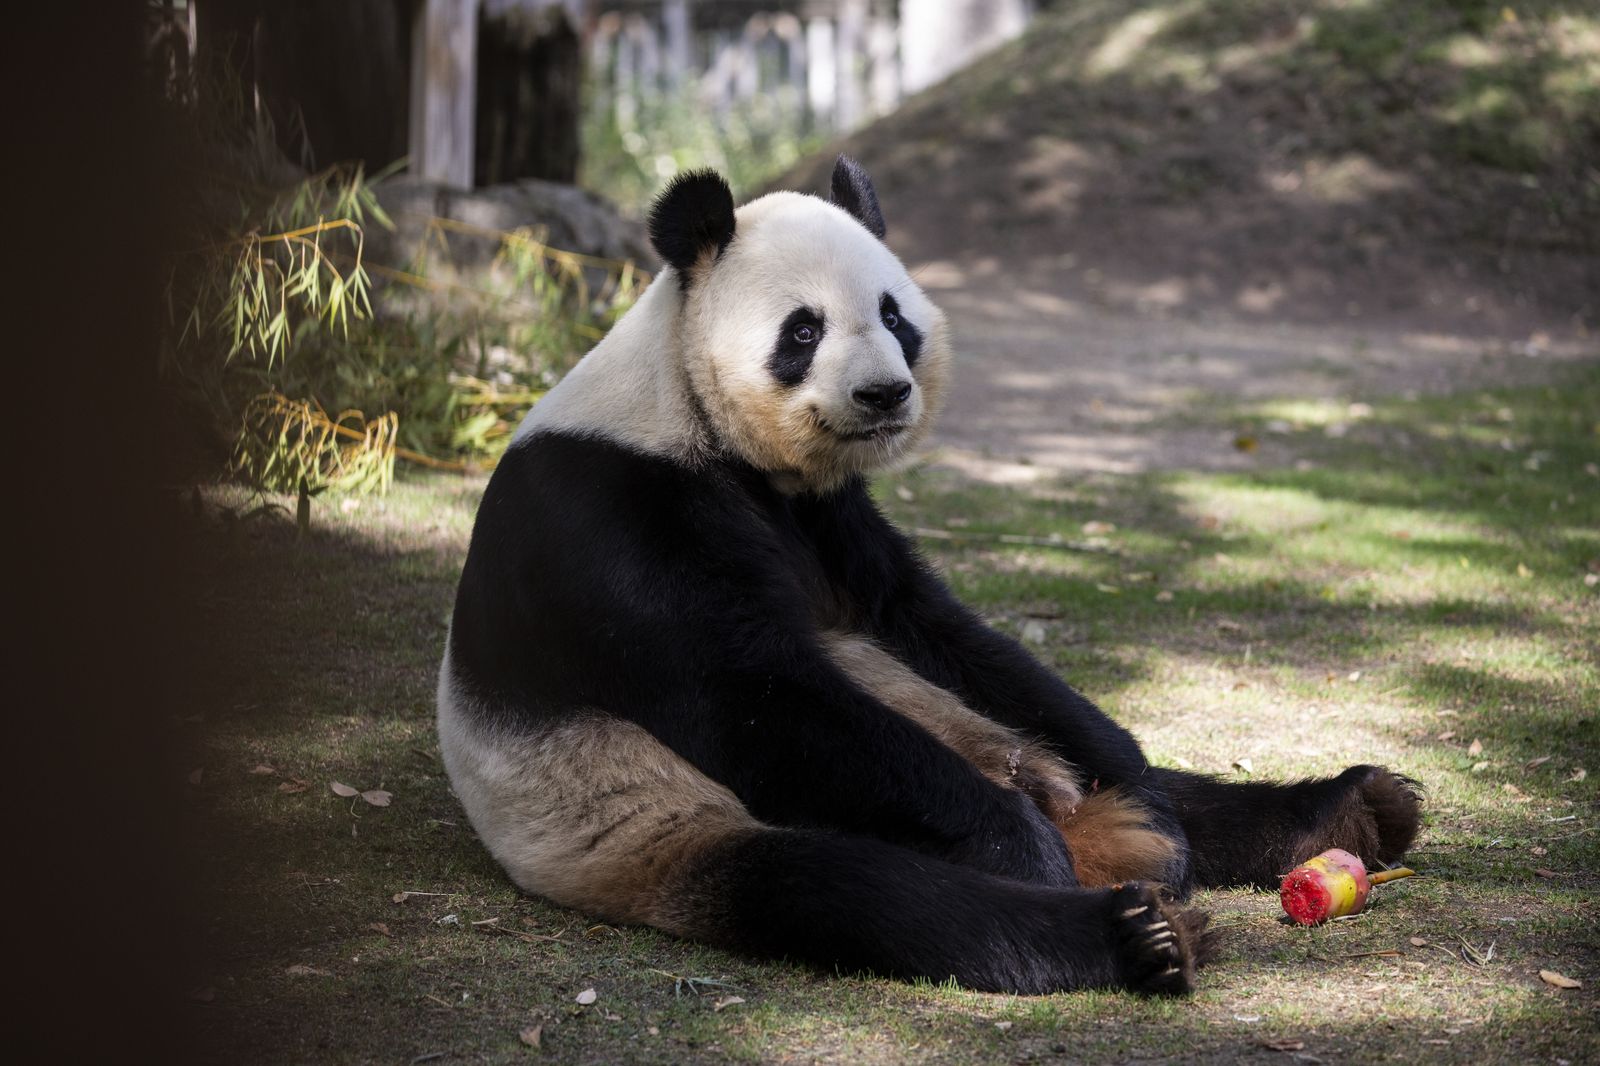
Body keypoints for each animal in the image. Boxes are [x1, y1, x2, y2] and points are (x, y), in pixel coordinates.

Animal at [437, 156, 1422, 995]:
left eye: (894, 316)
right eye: (804, 330)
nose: (884, 394)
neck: (688, 416)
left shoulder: (832, 521)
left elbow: (936, 628)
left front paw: (1140, 795)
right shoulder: (617, 515)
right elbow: (750, 693)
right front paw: (1023, 851)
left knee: (1162, 784)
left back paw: (1348, 812)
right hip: (643, 821)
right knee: (856, 890)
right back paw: (1137, 933)